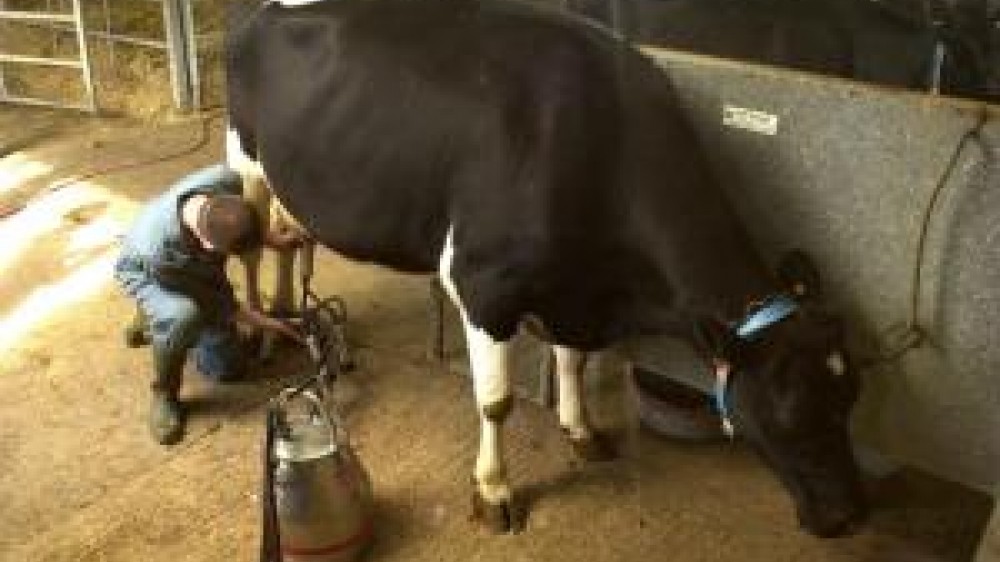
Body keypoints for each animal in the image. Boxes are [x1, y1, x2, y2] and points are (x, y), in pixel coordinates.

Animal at [225, 0, 868, 536]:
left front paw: (580, 431)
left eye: (850, 399)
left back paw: (290, 314)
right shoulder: (483, 284)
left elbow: (574, 361)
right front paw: (493, 491)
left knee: (289, 241)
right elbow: (496, 402)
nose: (849, 517)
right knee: (252, 245)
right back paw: (263, 334)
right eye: (793, 417)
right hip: (246, 162)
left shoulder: (575, 293)